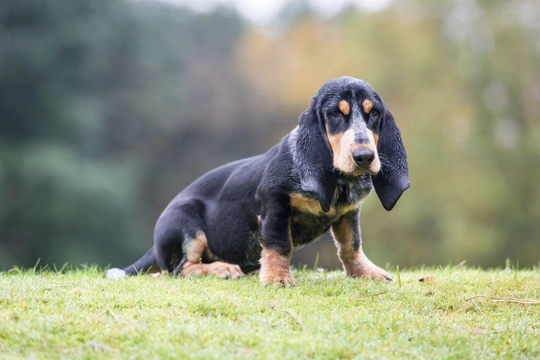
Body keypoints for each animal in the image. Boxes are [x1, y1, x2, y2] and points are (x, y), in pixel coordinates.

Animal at [106, 77, 410, 286]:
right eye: (336, 113)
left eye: (374, 113)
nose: (364, 157)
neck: (338, 181)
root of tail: (154, 246)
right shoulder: (274, 202)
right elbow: (279, 244)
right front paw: (278, 278)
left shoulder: (349, 212)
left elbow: (351, 246)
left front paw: (366, 273)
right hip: (187, 222)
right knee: (181, 269)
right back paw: (223, 269)